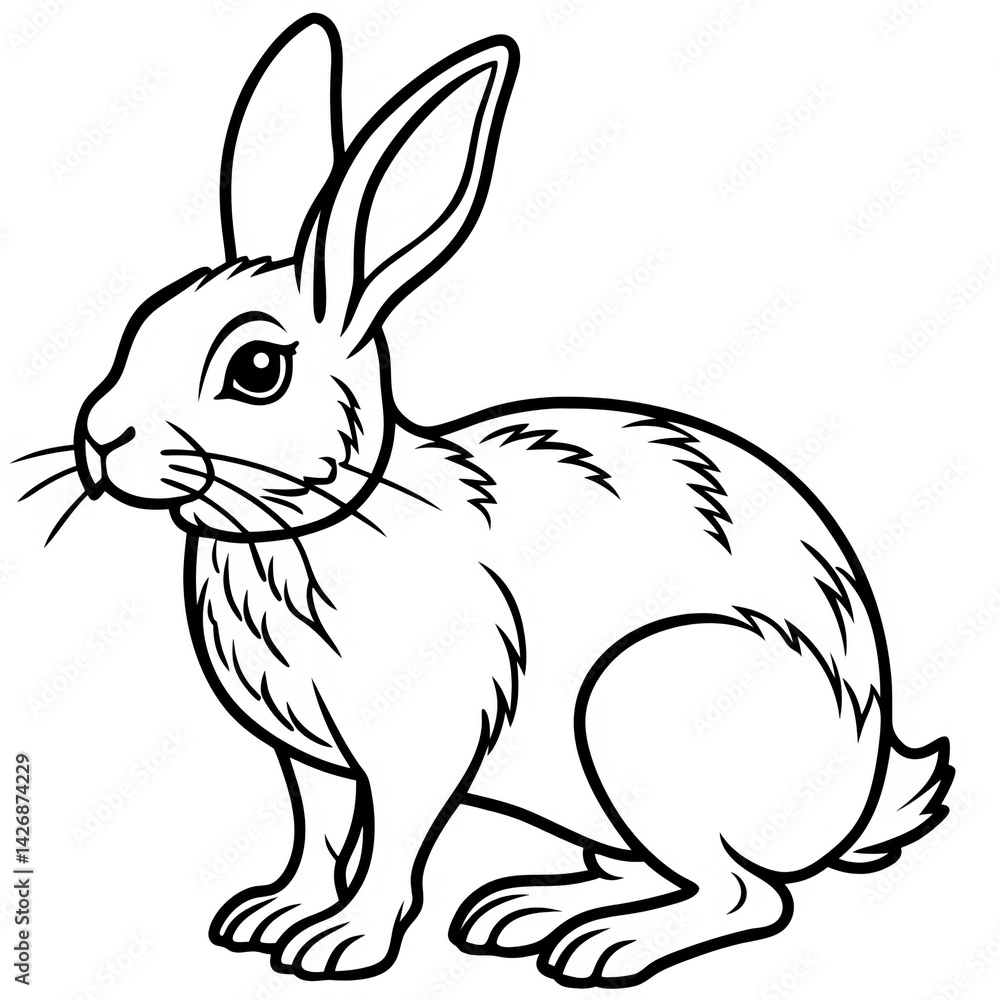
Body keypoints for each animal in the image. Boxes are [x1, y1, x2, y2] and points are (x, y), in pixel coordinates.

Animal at [23, 13, 951, 988]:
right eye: (140, 325)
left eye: (257, 370)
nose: (99, 438)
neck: (314, 520)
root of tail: (859, 795)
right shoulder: (308, 758)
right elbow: (317, 833)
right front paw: (267, 916)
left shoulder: (422, 742)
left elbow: (391, 843)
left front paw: (338, 944)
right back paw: (527, 911)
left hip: (638, 709)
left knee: (747, 894)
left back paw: (600, 946)